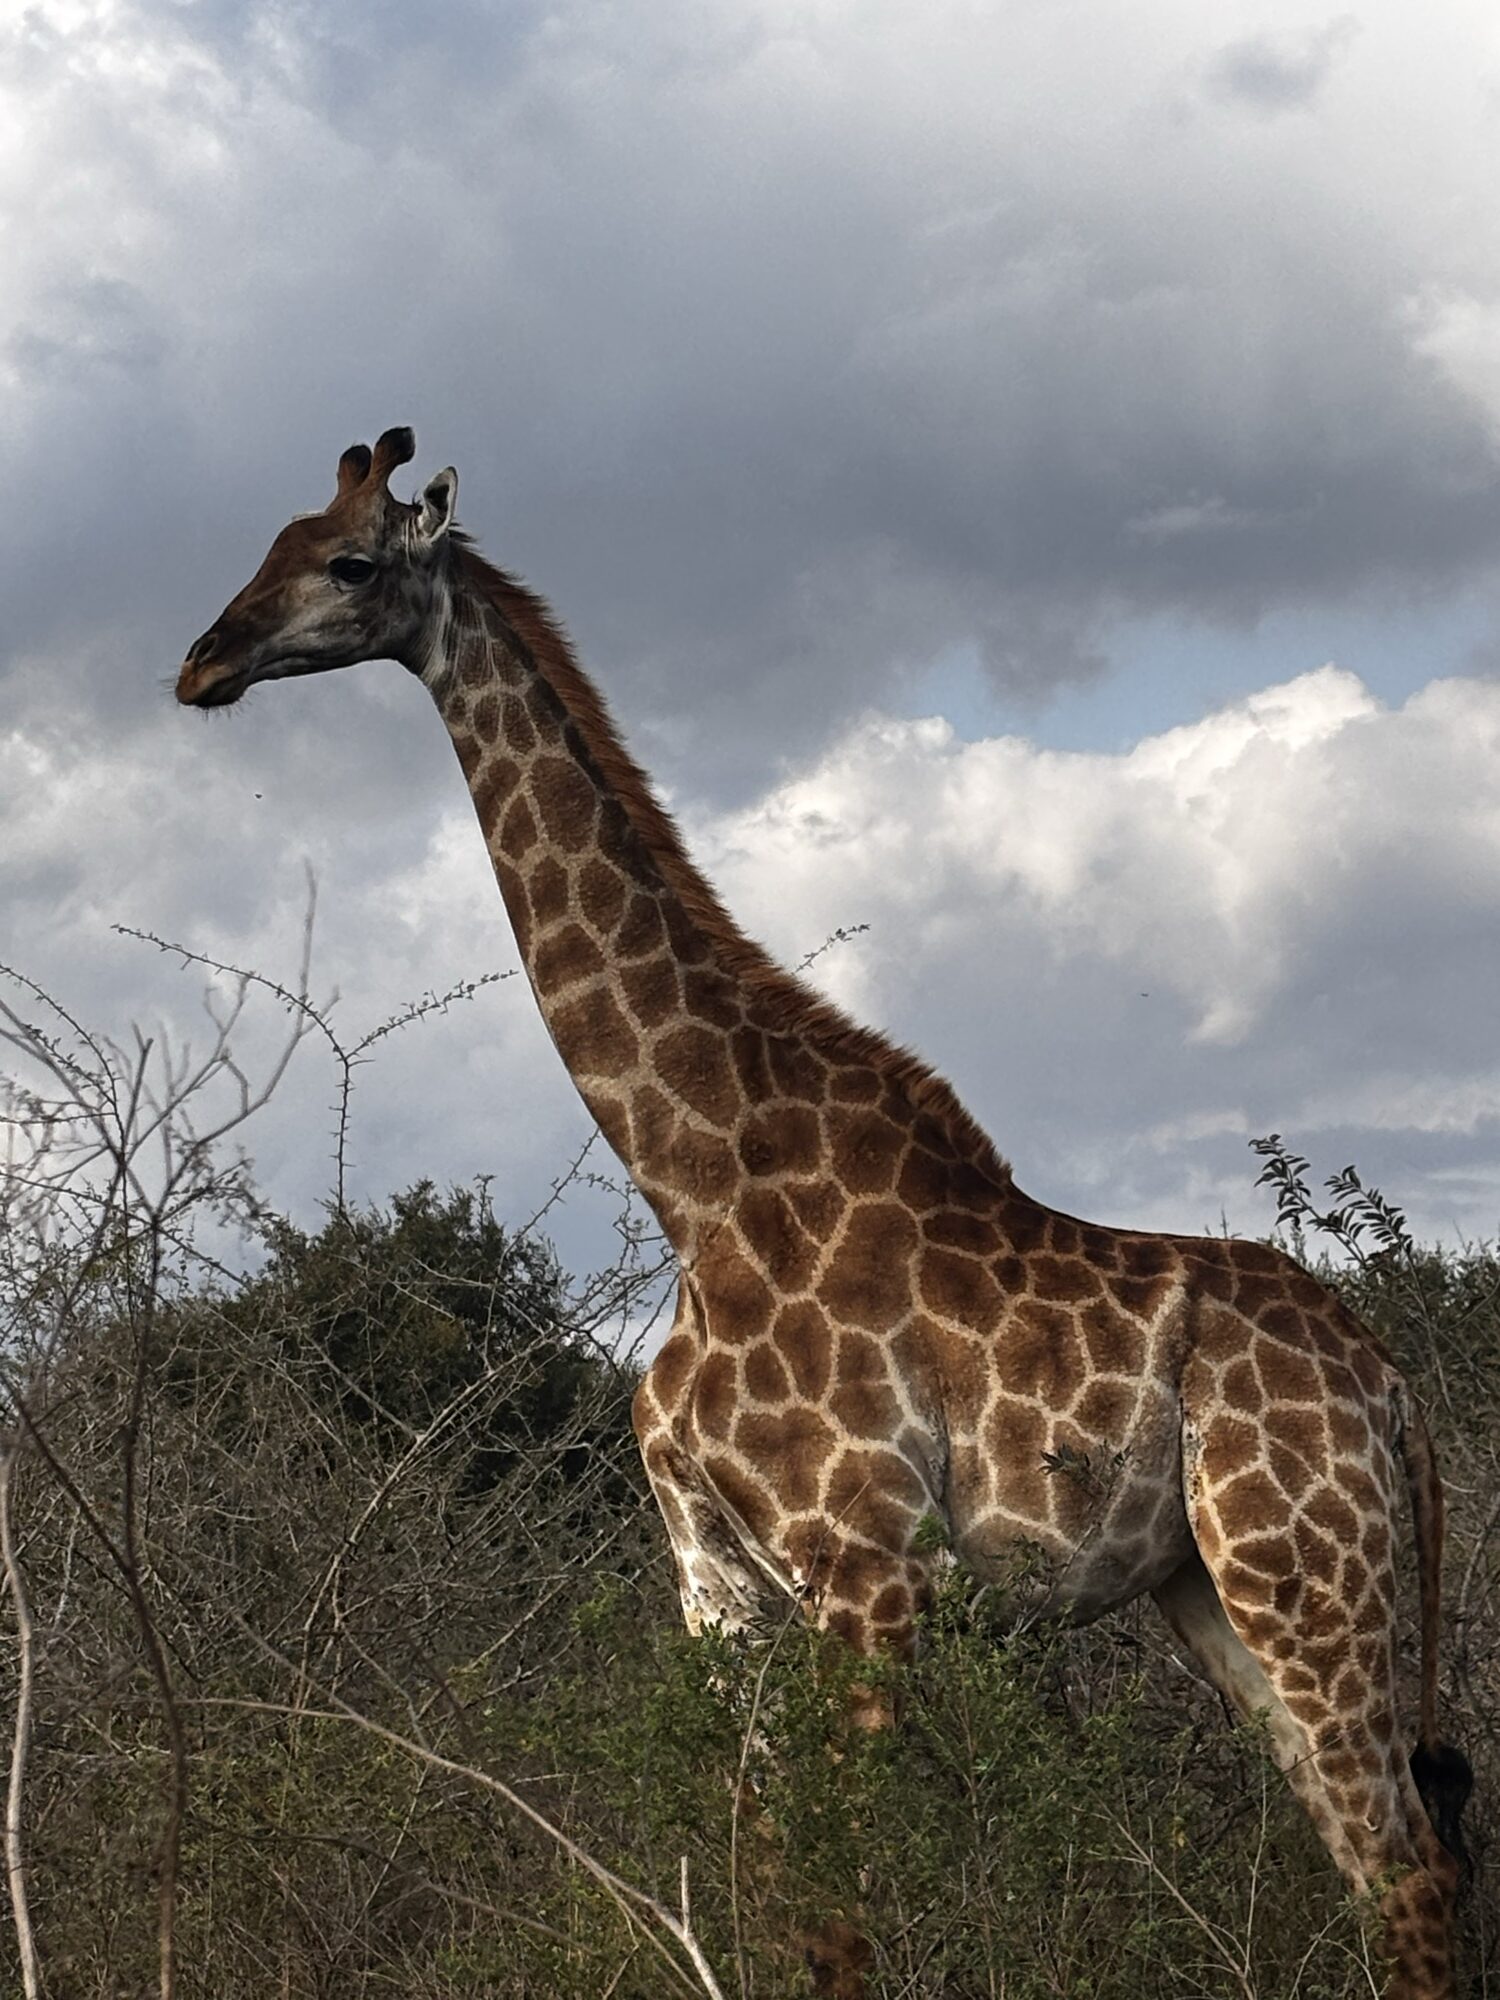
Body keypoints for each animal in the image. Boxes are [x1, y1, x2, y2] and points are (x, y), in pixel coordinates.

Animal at [176, 428, 1469, 1998]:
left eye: (350, 562)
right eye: (270, 538)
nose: (200, 663)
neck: (700, 1191)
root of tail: (1391, 1383)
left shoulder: (866, 1567)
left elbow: (837, 1908)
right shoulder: (717, 1581)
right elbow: (754, 1883)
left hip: (1303, 1563)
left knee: (1408, 1866)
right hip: (1212, 1587)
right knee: (1382, 1858)